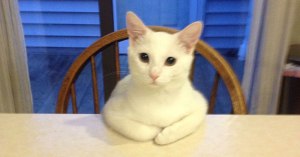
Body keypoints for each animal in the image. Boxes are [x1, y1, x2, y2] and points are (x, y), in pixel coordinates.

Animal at [102, 11, 207, 145]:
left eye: (171, 60)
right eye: (144, 57)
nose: (154, 74)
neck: (159, 96)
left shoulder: (200, 103)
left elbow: (190, 122)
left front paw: (166, 134)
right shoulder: (110, 111)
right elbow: (141, 132)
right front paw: (156, 129)